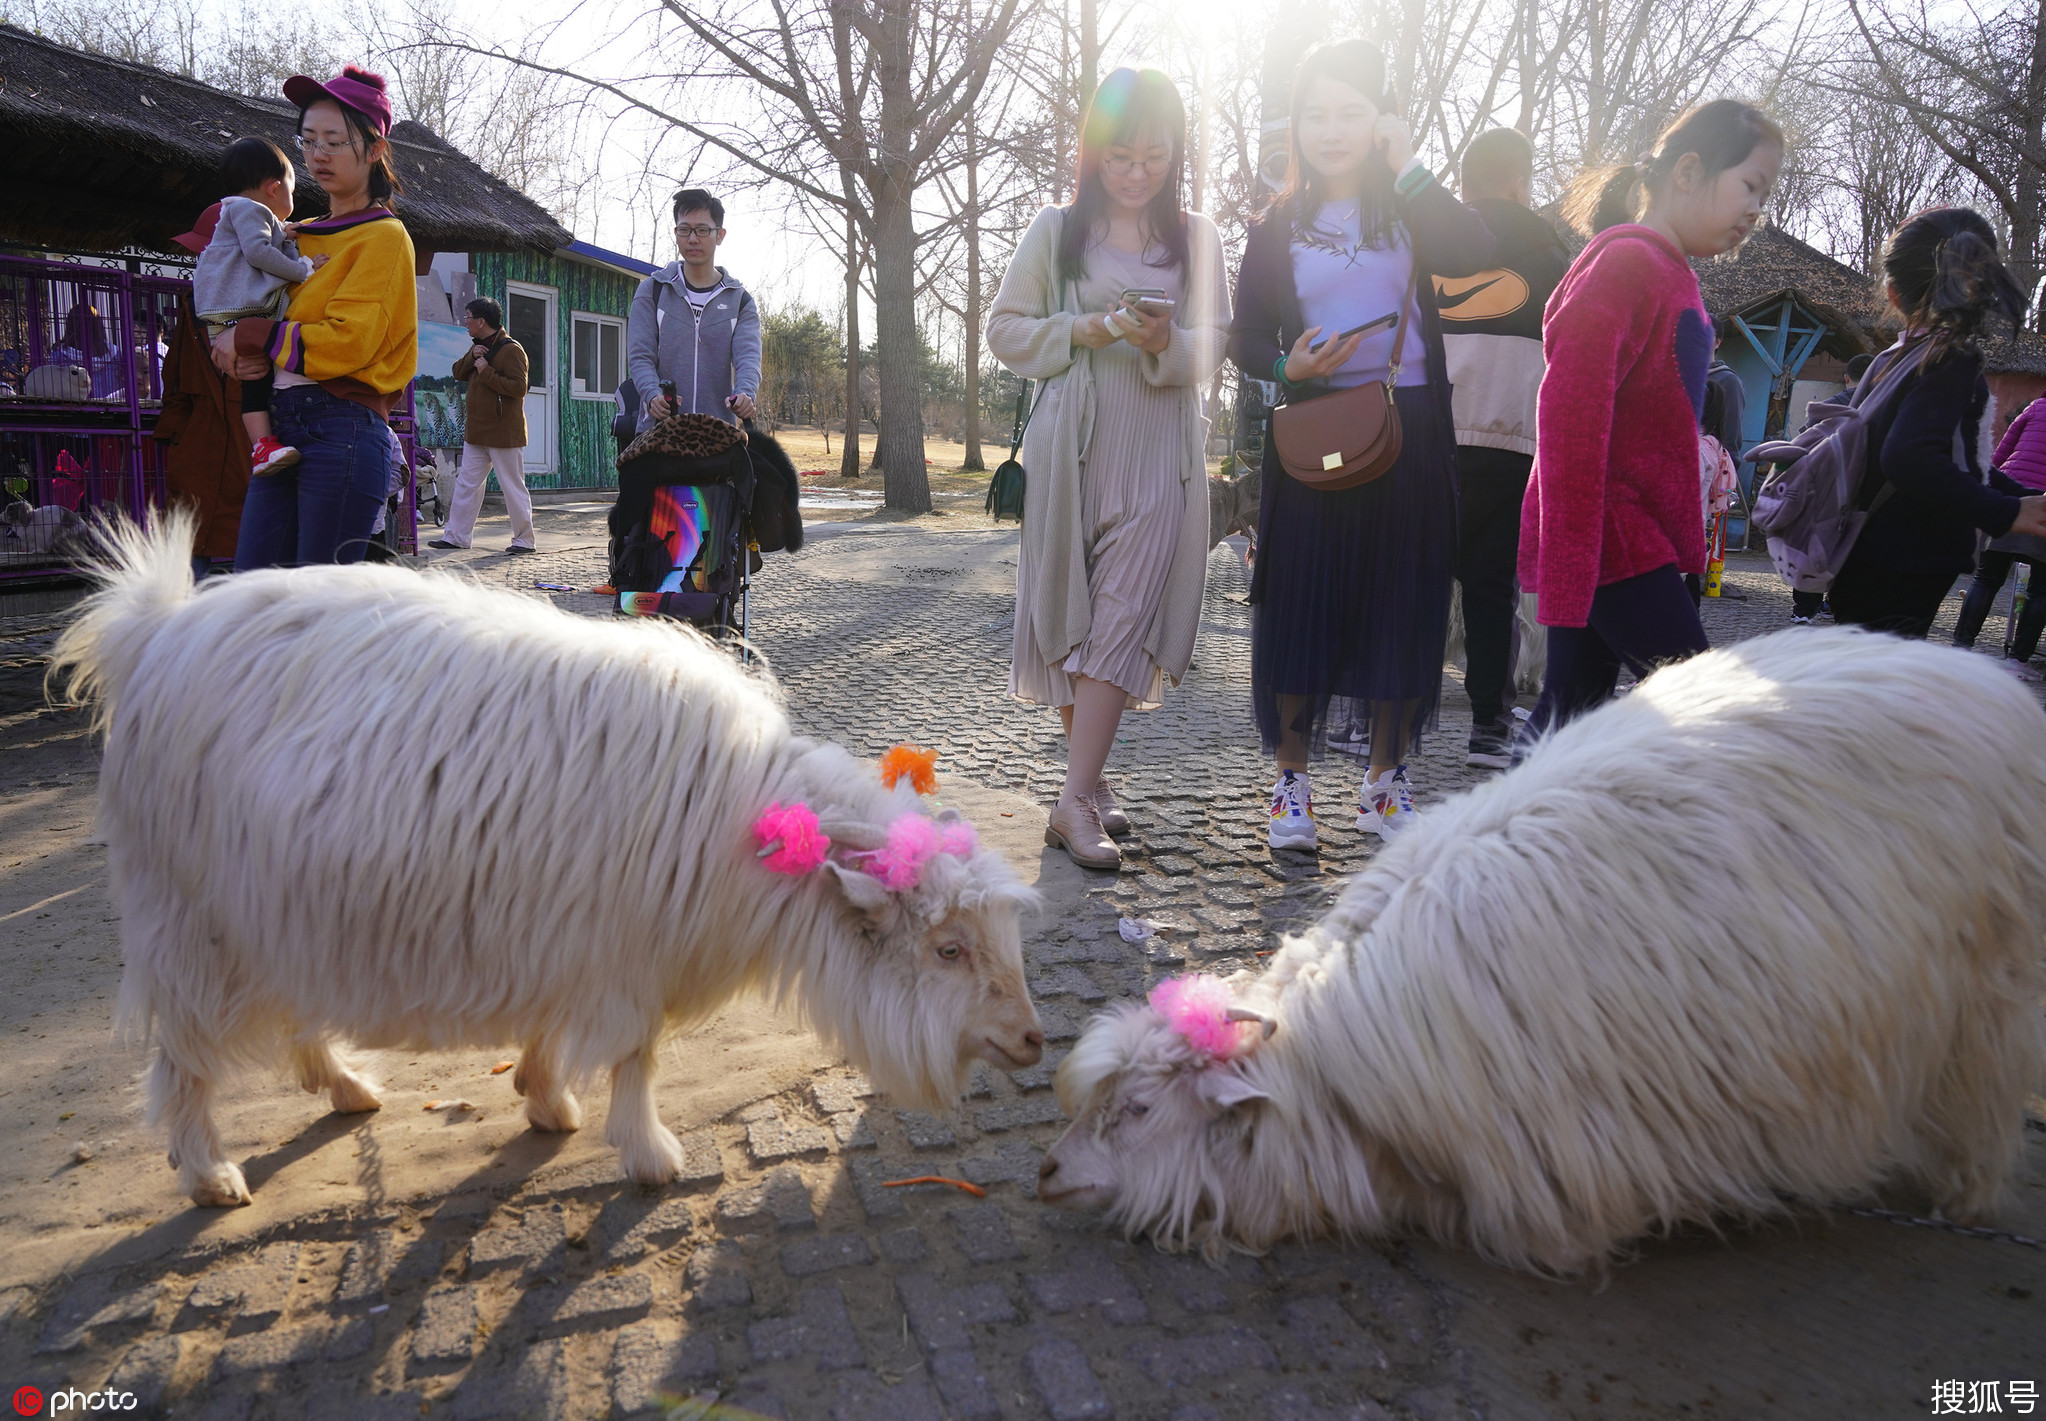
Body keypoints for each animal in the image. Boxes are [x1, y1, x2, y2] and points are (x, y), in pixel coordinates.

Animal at [56, 517, 1047, 1202]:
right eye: (948, 949)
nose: (1035, 1039)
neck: (740, 818)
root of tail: (150, 634)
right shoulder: (626, 953)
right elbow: (638, 1057)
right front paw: (648, 1154)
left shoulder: (564, 935)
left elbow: (553, 1030)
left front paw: (542, 1095)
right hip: (185, 913)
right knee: (181, 1052)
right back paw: (207, 1170)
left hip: (268, 903)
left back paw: (345, 1088)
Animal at [1047, 629, 2046, 1275]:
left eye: (1139, 1109)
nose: (1049, 1171)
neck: (1331, 1087)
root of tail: (1983, 674)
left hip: (1990, 992)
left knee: (1984, 1095)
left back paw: (1962, 1198)